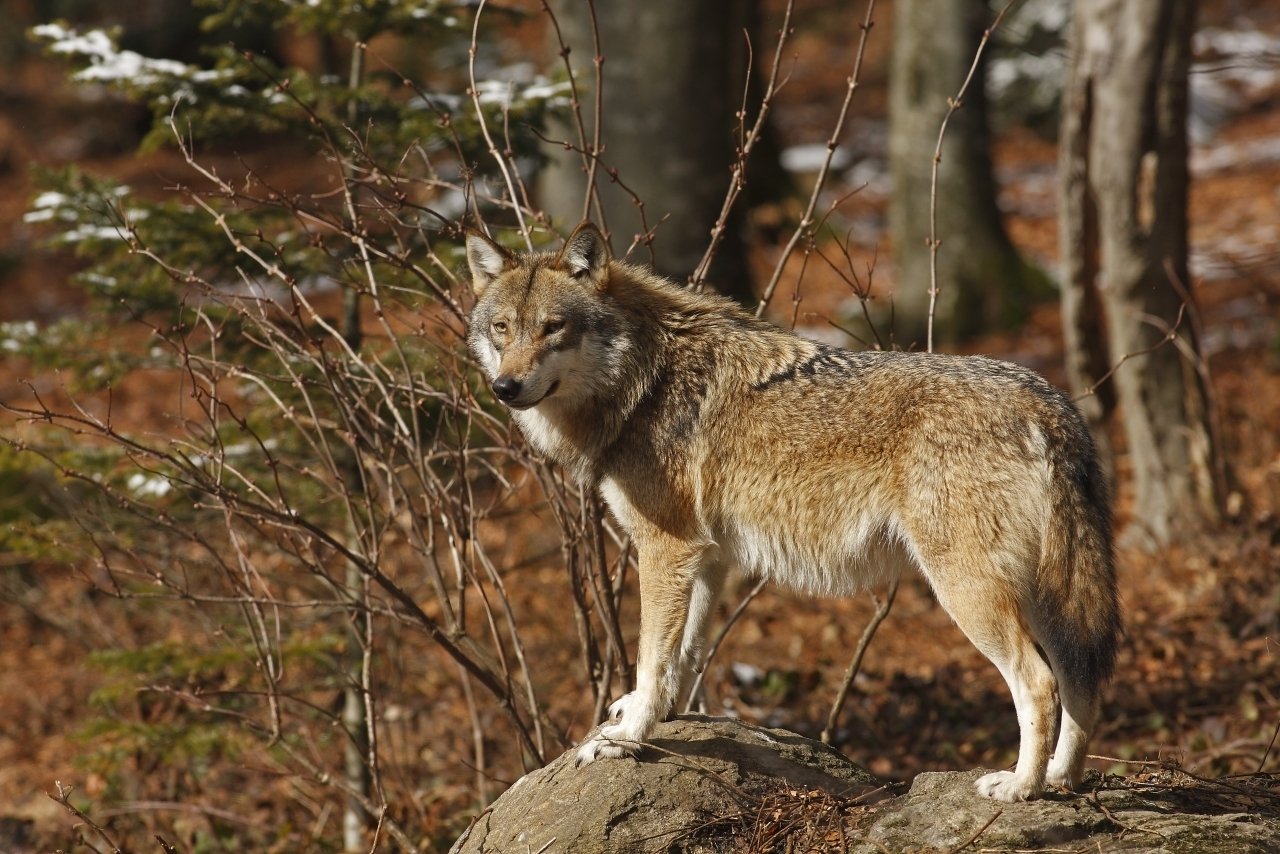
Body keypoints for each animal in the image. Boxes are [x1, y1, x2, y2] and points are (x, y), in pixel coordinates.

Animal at [465, 220, 1116, 804]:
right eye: (502, 328)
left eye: (553, 328)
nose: (505, 387)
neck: (642, 381)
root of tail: (1052, 403)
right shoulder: (708, 558)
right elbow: (685, 655)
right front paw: (659, 715)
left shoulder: (665, 548)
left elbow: (652, 656)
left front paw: (625, 736)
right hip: (1045, 593)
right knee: (1081, 679)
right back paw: (1062, 780)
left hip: (968, 590)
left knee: (1039, 683)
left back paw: (1021, 787)